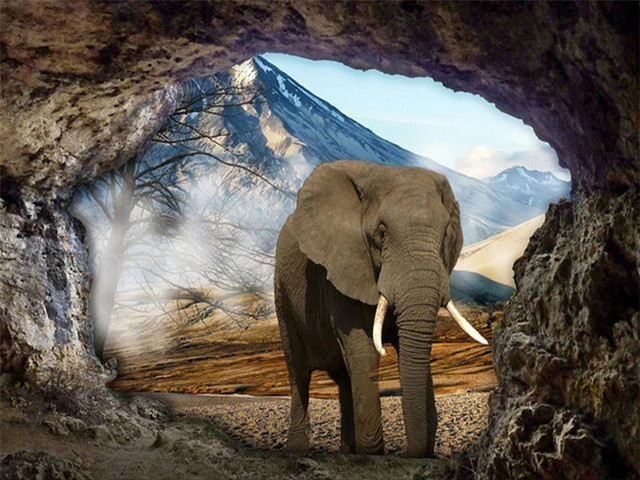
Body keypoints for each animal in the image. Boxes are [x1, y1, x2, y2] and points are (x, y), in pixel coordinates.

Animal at [274, 160, 487, 458]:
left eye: (446, 233)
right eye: (381, 233)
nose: (411, 453)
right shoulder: (341, 267)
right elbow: (365, 353)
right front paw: (373, 453)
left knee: (344, 378)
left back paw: (347, 452)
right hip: (282, 292)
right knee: (299, 372)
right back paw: (298, 450)